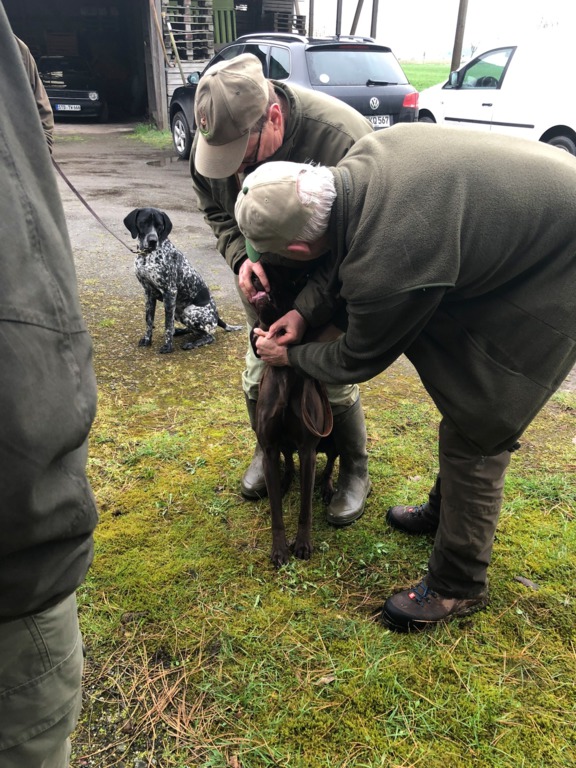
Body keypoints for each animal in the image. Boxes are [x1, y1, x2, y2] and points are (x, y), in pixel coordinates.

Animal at [123, 207, 241, 353]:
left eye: (159, 225)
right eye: (143, 222)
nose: (153, 240)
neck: (147, 256)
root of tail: (217, 317)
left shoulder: (170, 292)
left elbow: (167, 324)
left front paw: (168, 347)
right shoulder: (148, 293)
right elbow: (149, 320)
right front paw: (147, 340)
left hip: (188, 311)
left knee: (209, 336)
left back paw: (192, 343)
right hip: (178, 312)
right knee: (192, 330)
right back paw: (179, 331)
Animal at [250, 267, 337, 568]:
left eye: (288, 277)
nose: (255, 276)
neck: (285, 375)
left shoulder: (308, 449)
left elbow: (305, 508)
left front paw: (302, 544)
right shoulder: (269, 445)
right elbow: (276, 510)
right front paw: (279, 549)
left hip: (333, 435)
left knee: (332, 461)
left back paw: (327, 486)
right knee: (286, 461)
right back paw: (285, 479)